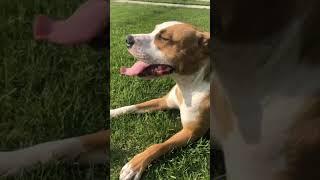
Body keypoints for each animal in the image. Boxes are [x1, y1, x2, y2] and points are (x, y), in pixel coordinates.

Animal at [111, 21, 211, 180]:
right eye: (154, 30)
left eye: (164, 38)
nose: (128, 39)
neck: (188, 86)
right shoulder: (164, 101)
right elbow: (132, 106)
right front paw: (111, 112)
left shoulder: (191, 132)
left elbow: (159, 145)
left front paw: (135, 165)